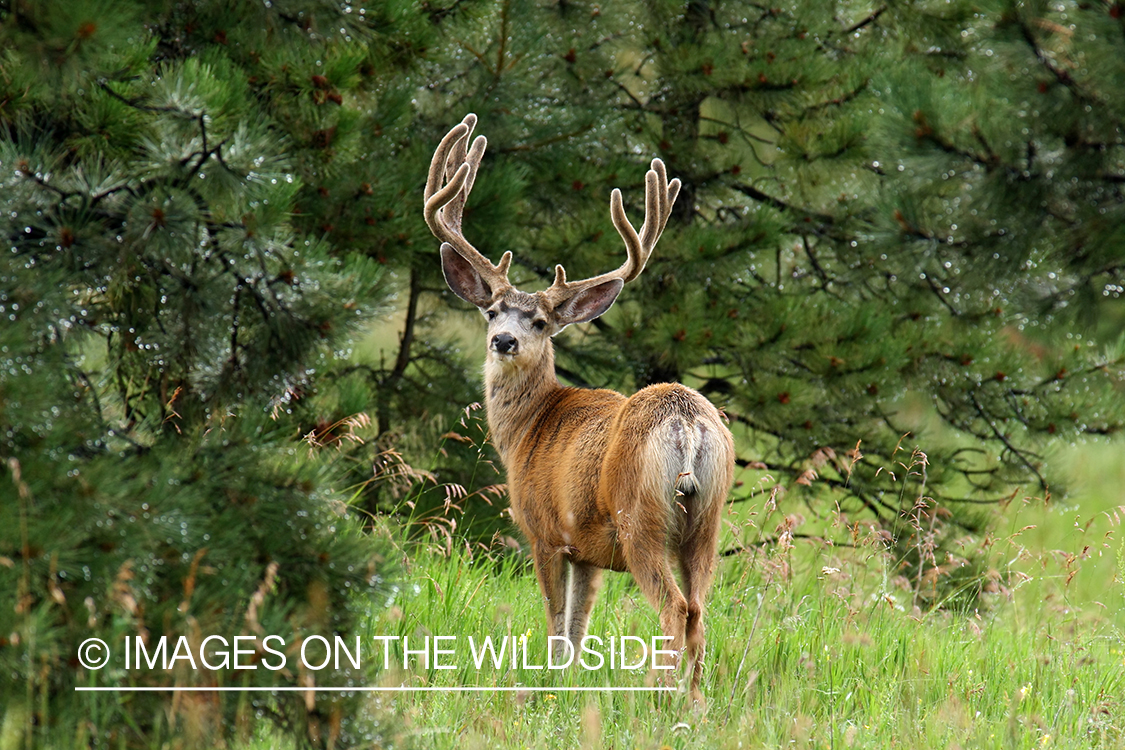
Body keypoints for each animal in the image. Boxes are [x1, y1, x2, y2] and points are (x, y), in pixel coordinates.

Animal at [423, 114, 735, 702]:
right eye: (493, 310)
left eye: (540, 322)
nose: (503, 340)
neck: (527, 429)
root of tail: (686, 422)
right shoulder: (589, 548)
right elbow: (578, 626)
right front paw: (566, 687)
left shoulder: (545, 532)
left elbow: (554, 623)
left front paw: (547, 688)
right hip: (706, 521)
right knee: (700, 611)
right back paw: (697, 699)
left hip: (641, 517)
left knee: (675, 609)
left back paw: (661, 698)